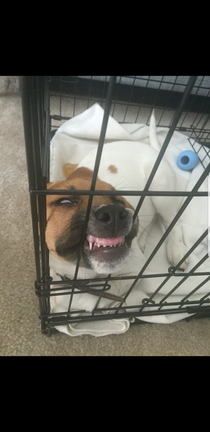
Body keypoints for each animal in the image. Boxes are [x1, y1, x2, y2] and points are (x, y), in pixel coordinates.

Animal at [45, 112, 188, 280]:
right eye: (65, 201)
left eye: (118, 200)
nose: (113, 213)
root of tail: (154, 150)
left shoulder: (134, 273)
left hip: (161, 190)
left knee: (173, 222)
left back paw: (177, 250)